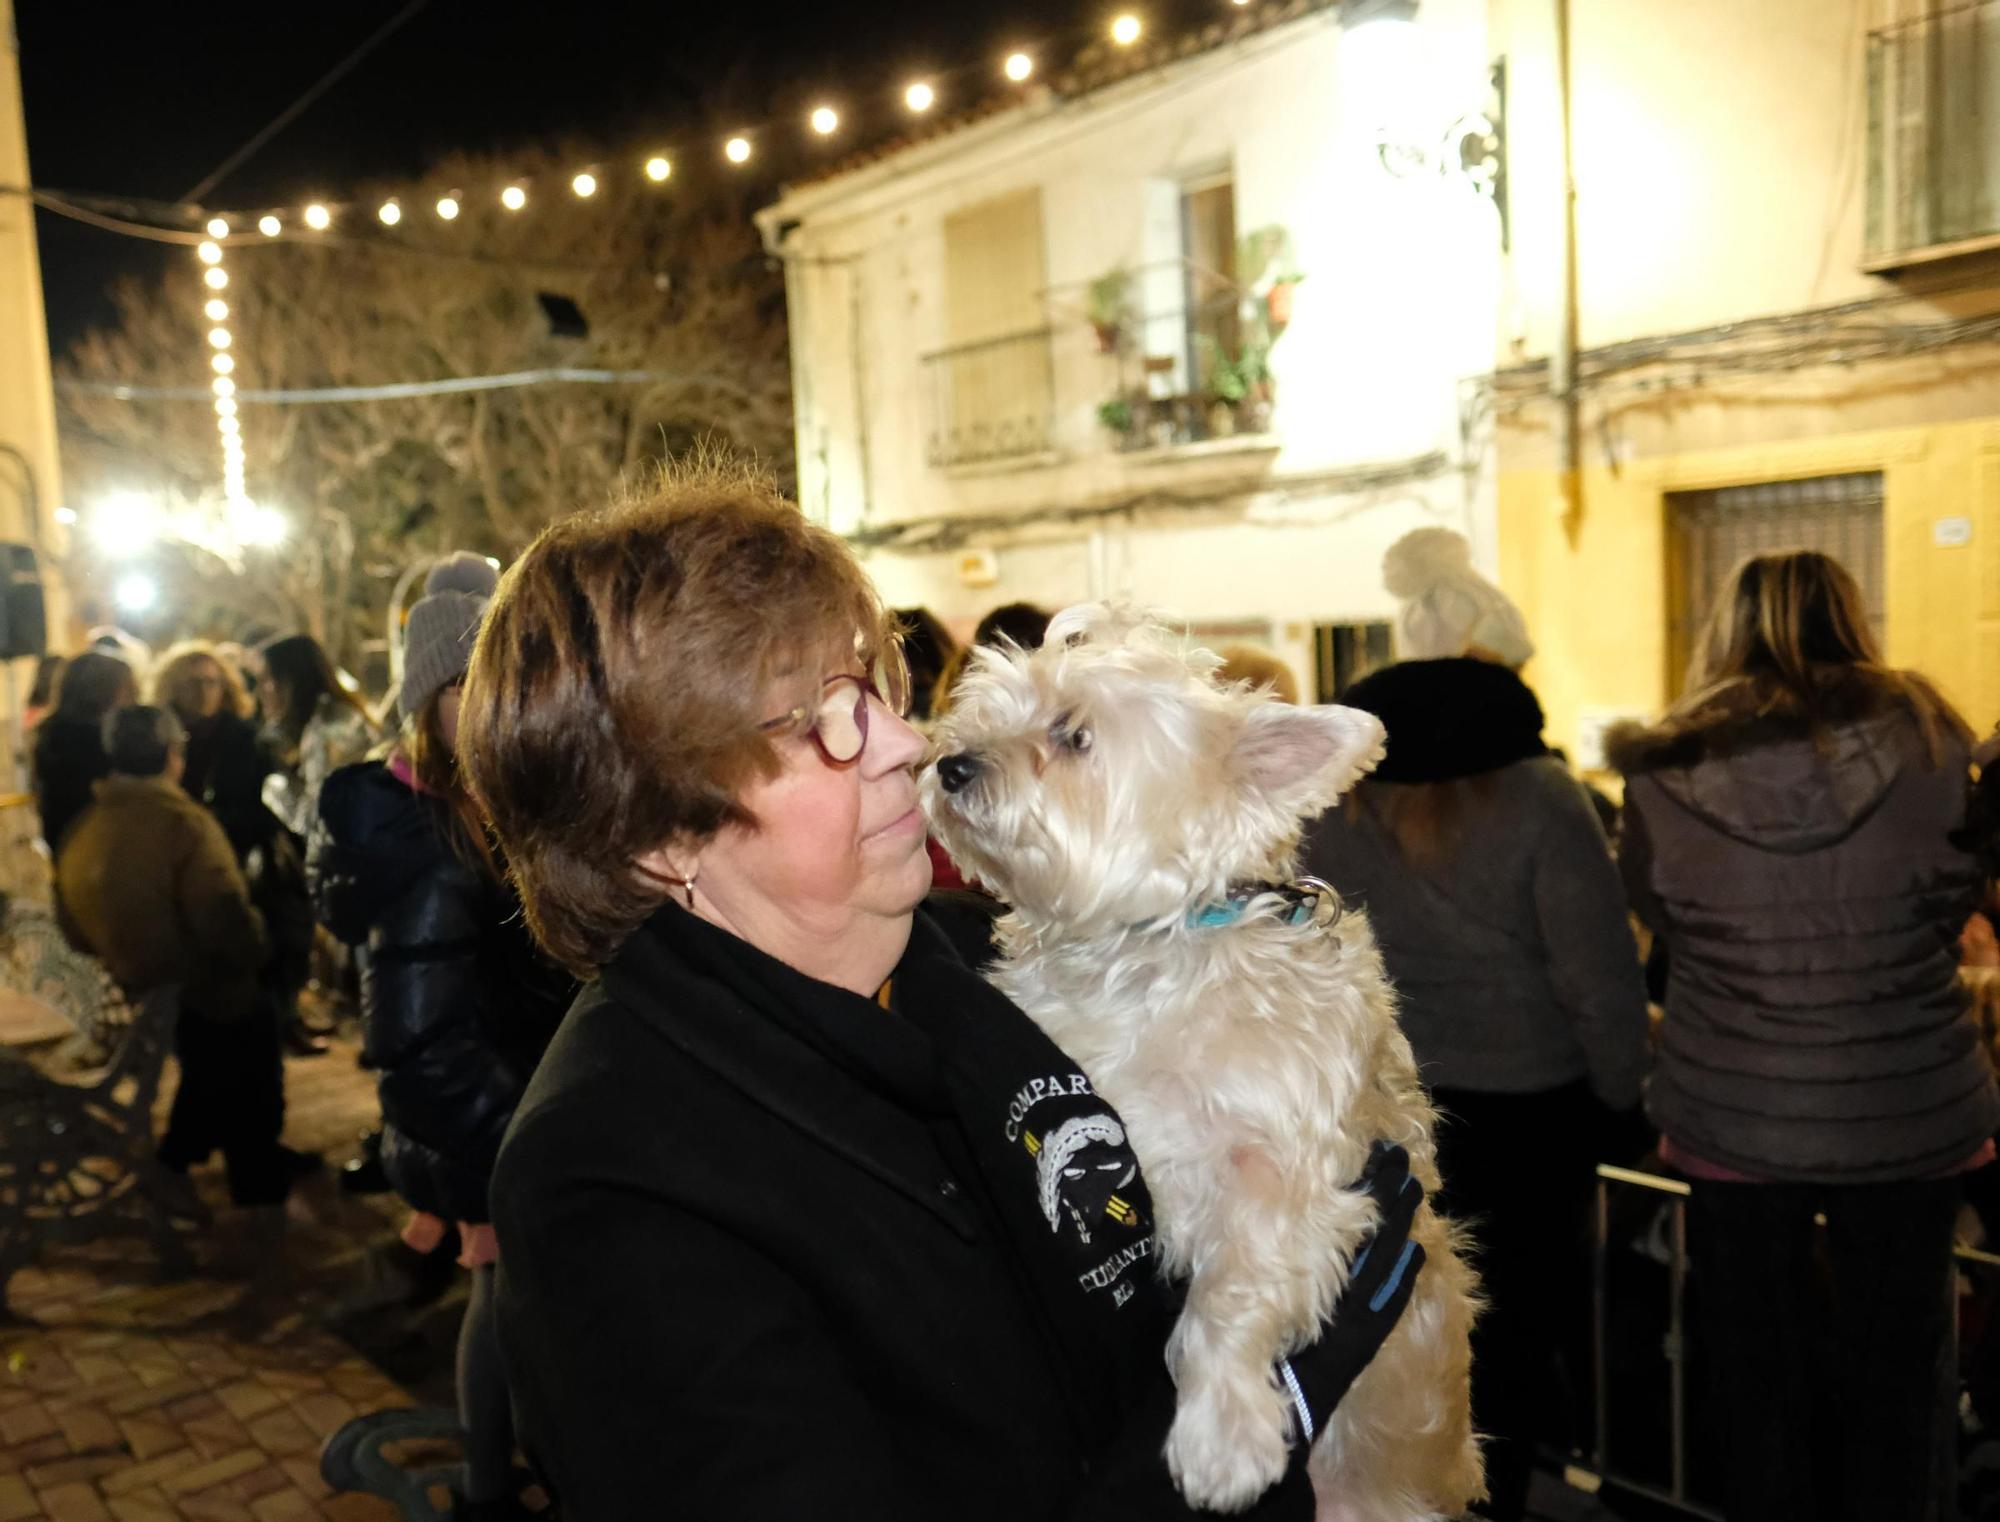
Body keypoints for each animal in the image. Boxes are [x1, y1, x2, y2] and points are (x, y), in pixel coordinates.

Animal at [924, 604, 1488, 1520]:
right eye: (984, 713)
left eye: (1074, 735)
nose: (950, 763)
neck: (1143, 955)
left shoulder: (1287, 1177)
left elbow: (1226, 1302)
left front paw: (1223, 1435)